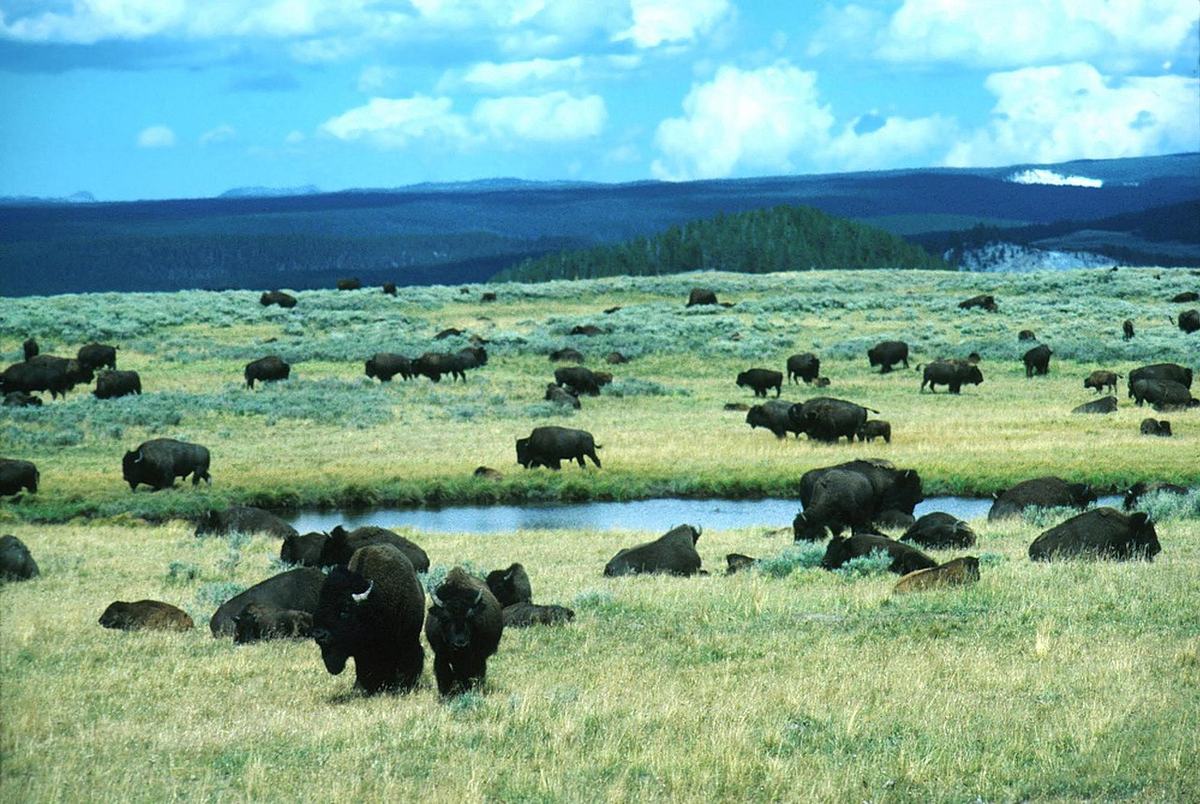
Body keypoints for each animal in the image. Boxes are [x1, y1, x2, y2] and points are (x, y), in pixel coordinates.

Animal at [313, 544, 426, 694]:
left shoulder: (405, 640)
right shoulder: (362, 652)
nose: (319, 635)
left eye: (345, 610)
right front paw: (360, 689)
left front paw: (400, 688)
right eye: (319, 603)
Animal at [426, 566, 504, 697]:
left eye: (470, 617)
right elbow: (444, 675)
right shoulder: (441, 656)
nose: (460, 644)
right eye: (445, 618)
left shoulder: (477, 657)